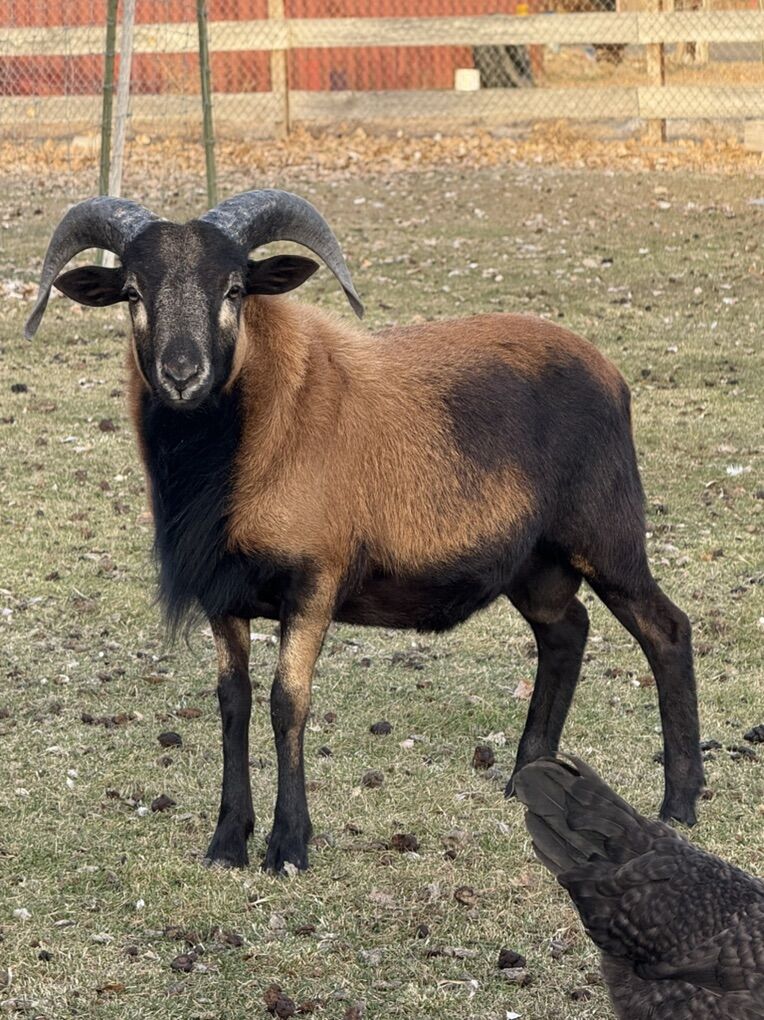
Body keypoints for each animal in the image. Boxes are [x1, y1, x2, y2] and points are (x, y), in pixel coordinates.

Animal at [26, 189, 704, 873]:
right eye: (132, 292)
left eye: (236, 289)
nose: (182, 374)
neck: (257, 434)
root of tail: (611, 375)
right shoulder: (224, 592)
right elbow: (233, 703)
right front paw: (227, 842)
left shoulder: (314, 580)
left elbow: (287, 702)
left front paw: (289, 846)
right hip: (534, 564)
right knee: (566, 633)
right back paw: (525, 779)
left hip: (606, 535)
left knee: (666, 630)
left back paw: (679, 804)